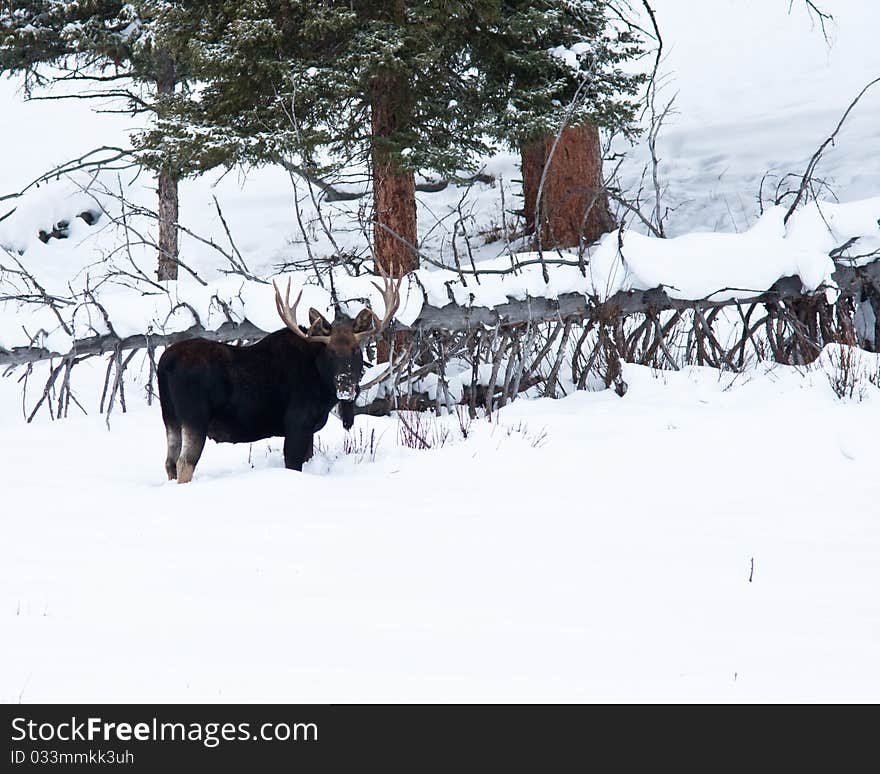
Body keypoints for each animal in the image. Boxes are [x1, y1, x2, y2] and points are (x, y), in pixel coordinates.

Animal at [158, 270, 402, 482]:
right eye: (330, 352)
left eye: (357, 350)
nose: (346, 386)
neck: (322, 386)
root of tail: (165, 363)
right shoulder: (297, 423)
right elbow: (293, 464)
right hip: (194, 416)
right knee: (185, 463)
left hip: (170, 417)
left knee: (169, 462)